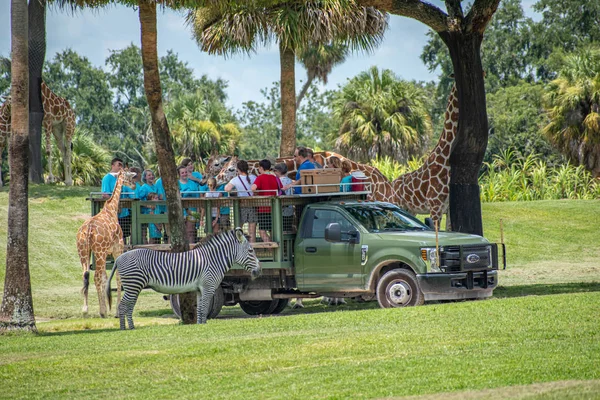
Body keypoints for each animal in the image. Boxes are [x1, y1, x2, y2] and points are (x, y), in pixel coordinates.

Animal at [77, 168, 135, 316]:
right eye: (130, 176)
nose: (134, 185)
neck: (111, 209)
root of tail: (88, 229)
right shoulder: (117, 249)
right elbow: (117, 277)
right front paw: (116, 310)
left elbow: (105, 276)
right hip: (99, 252)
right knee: (96, 277)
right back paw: (102, 312)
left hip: (84, 252)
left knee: (85, 275)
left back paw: (85, 309)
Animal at [107, 227, 260, 330]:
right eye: (251, 250)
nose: (259, 271)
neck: (213, 260)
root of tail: (119, 258)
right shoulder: (208, 287)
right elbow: (204, 308)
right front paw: (204, 326)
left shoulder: (200, 289)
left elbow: (200, 308)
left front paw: (200, 325)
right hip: (133, 285)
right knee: (123, 306)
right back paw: (124, 329)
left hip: (134, 286)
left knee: (129, 306)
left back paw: (131, 327)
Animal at [390, 83, 460, 230]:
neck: (445, 161)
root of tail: (391, 183)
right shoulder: (435, 205)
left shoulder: (448, 209)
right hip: (398, 204)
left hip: (411, 210)